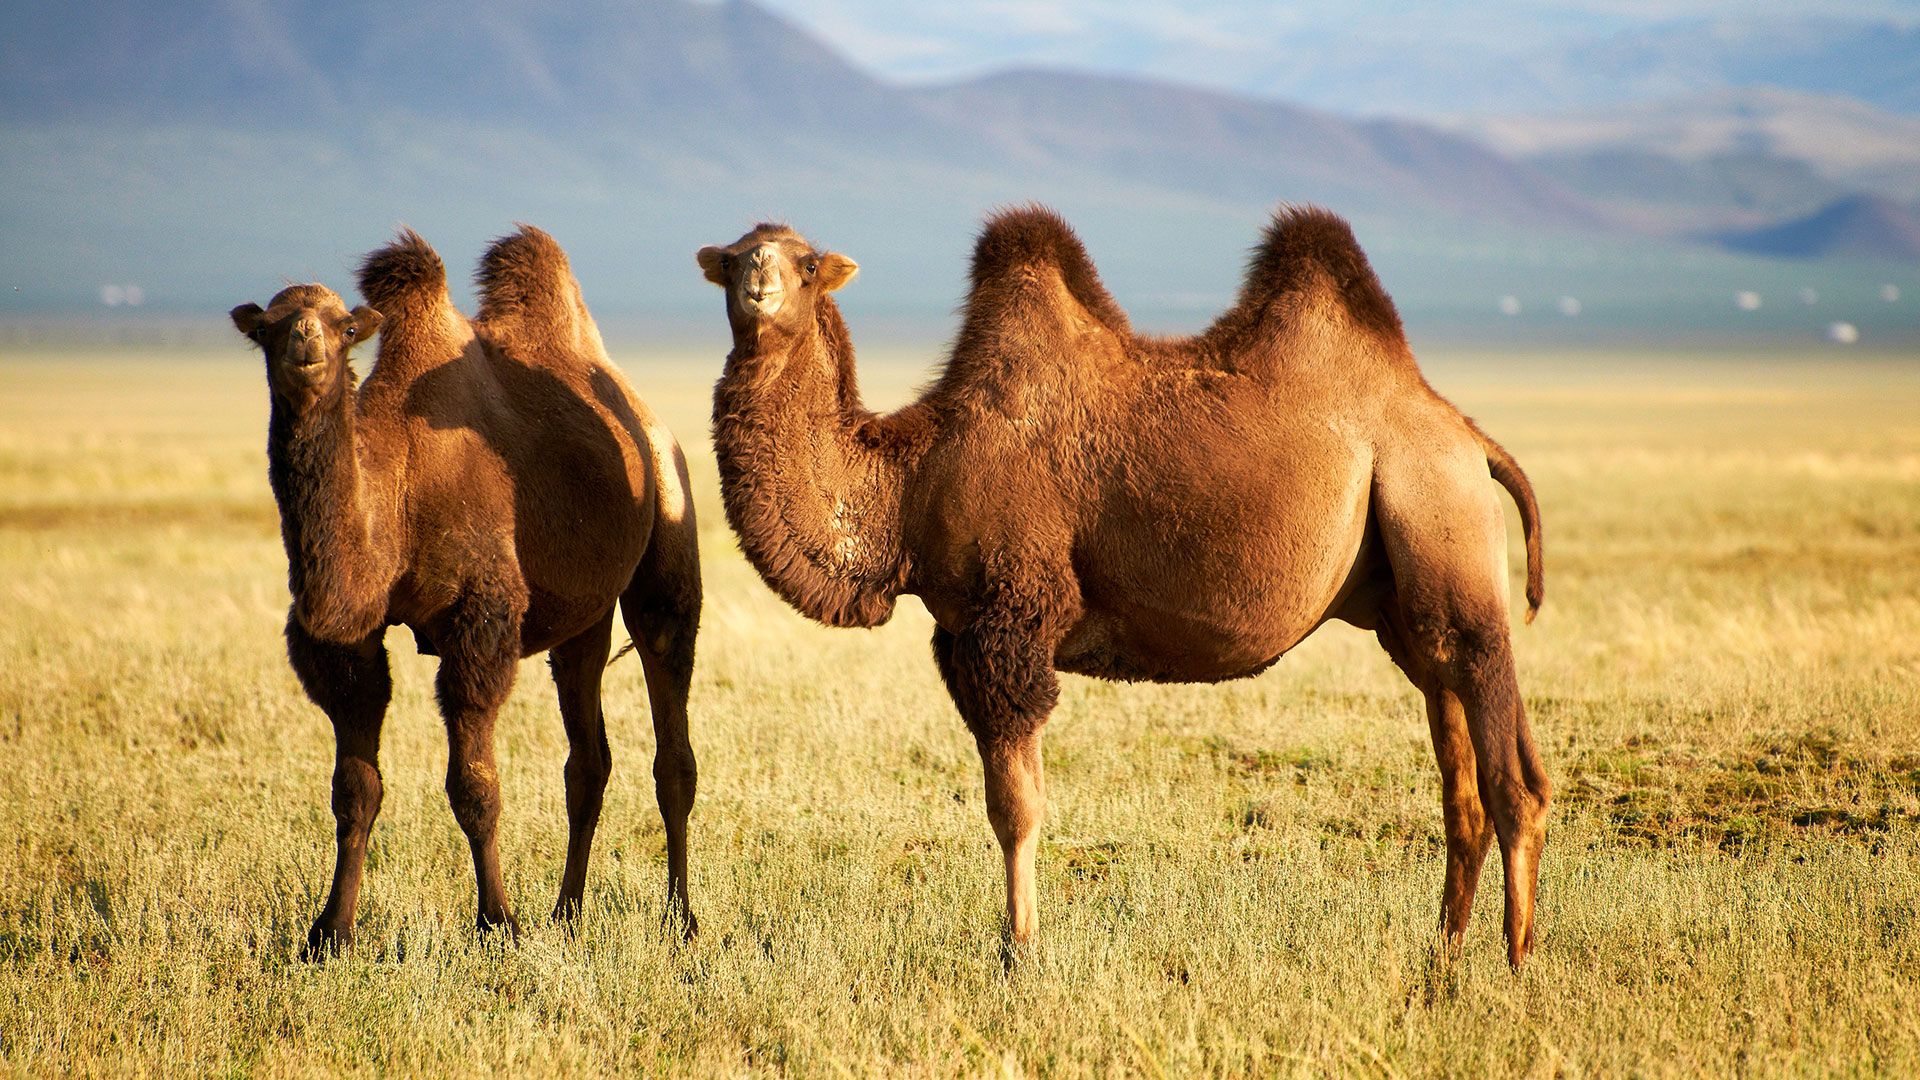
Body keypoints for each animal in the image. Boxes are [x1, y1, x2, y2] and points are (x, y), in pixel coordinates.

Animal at [230, 224, 698, 949]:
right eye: (268, 327)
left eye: (343, 326)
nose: (304, 343)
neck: (395, 487)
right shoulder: (349, 640)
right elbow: (354, 789)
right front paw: (329, 932)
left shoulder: (481, 619)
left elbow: (475, 787)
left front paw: (497, 924)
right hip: (583, 614)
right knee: (587, 759)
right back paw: (566, 915)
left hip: (669, 527)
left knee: (671, 733)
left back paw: (680, 920)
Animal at [698, 205, 1551, 960]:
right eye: (734, 256)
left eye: (808, 263)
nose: (760, 282)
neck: (911, 482)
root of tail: (1469, 436)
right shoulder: (959, 635)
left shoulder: (1009, 621)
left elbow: (1015, 808)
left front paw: (1019, 950)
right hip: (1407, 604)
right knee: (1462, 778)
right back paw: (1443, 956)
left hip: (1441, 517)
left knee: (1513, 781)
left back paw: (1512, 965)